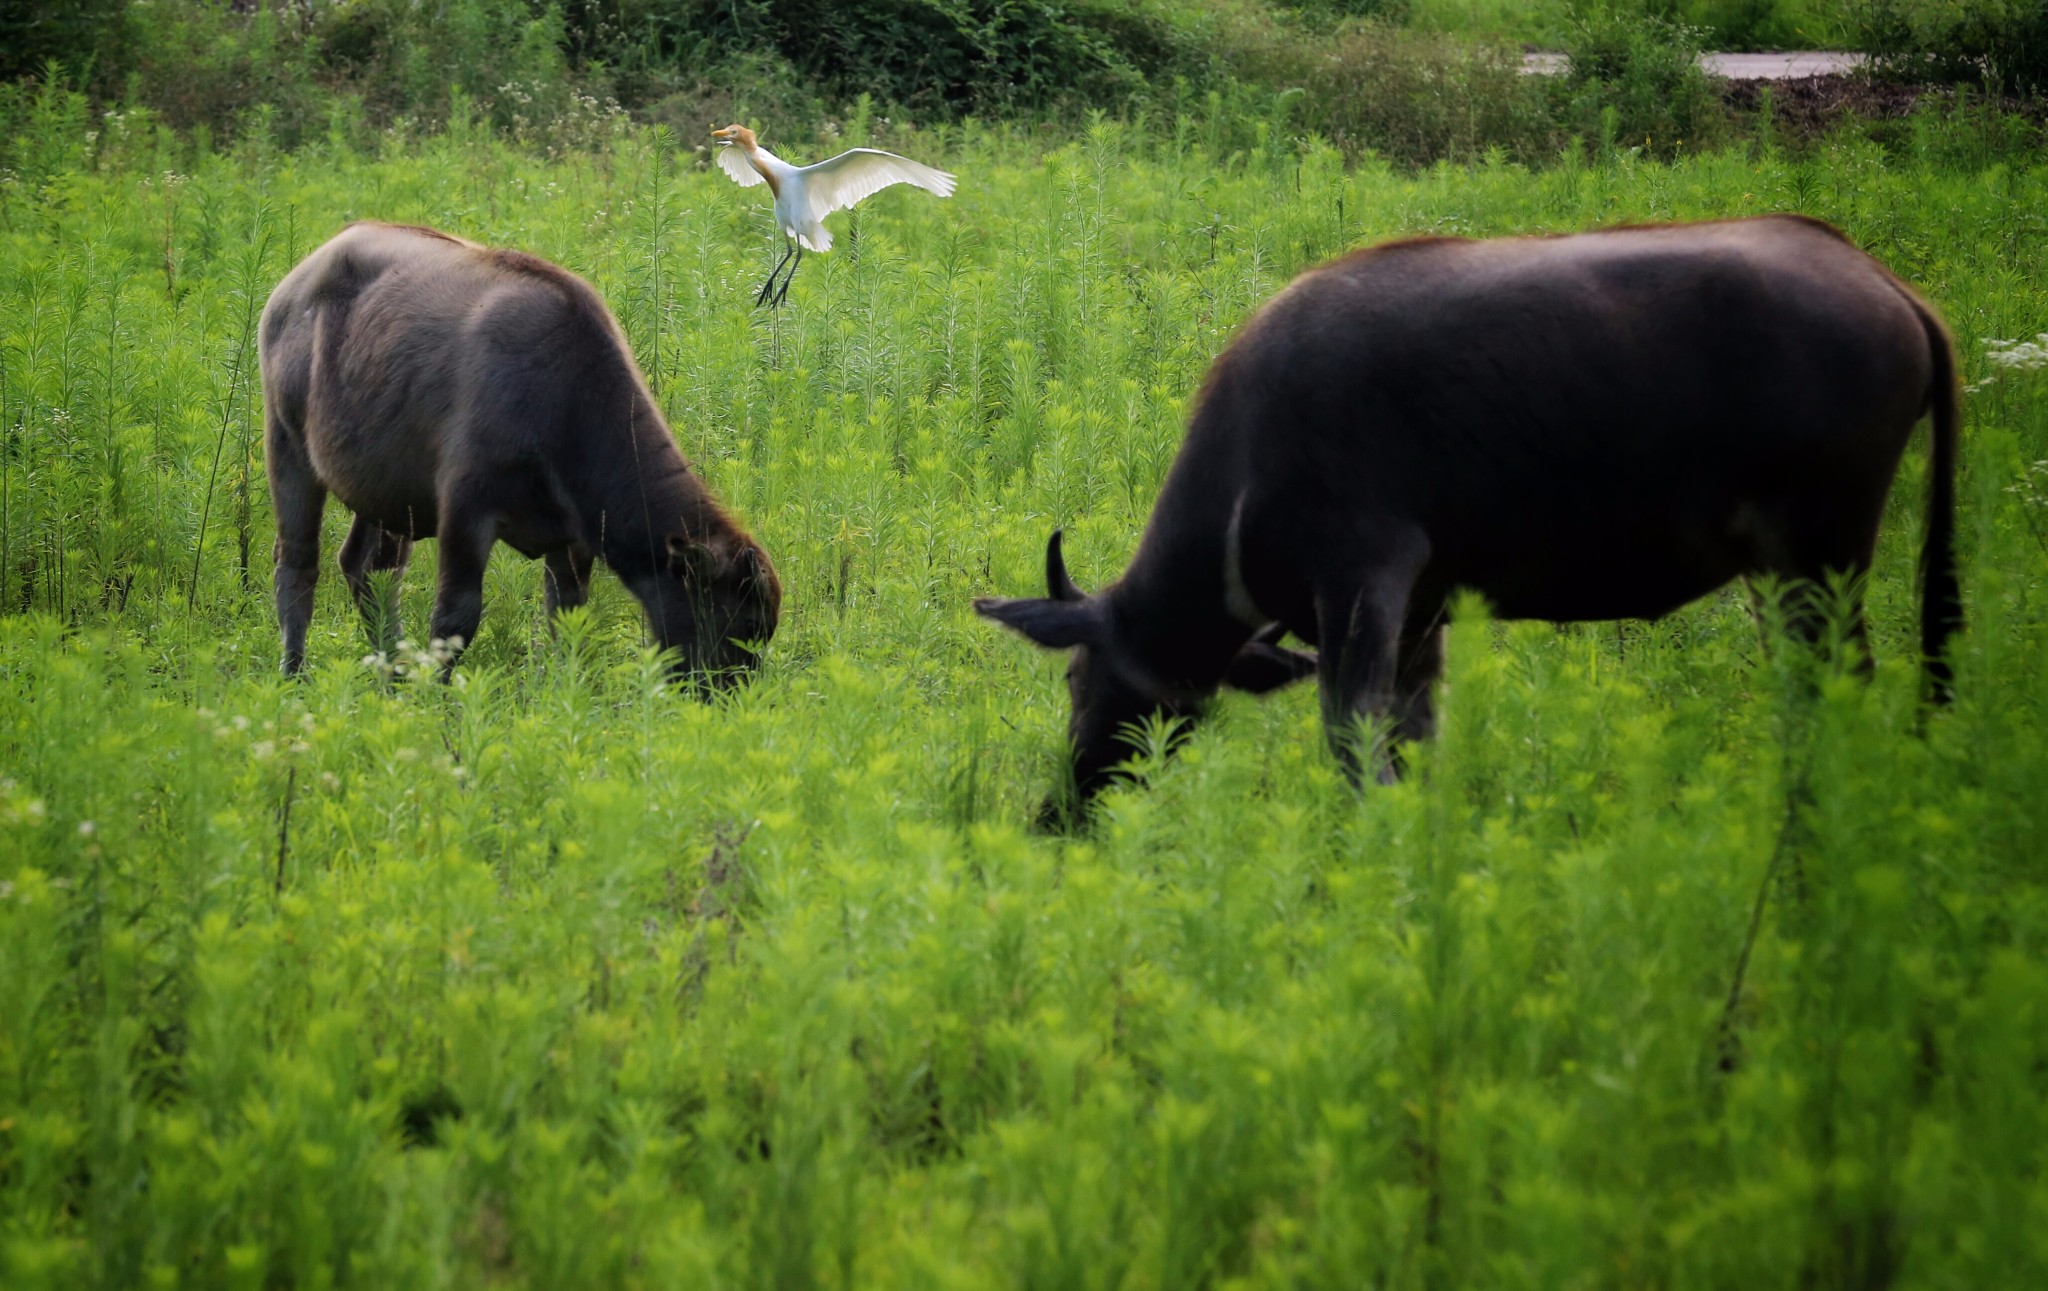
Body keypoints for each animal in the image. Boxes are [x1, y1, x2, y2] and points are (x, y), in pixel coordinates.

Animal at [260, 223, 778, 684]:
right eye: (744, 622)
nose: (733, 691)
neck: (564, 398)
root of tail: (295, 285)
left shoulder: (572, 540)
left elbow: (567, 618)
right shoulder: (465, 514)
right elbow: (455, 620)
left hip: (384, 493)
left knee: (369, 569)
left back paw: (394, 678)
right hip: (288, 449)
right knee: (298, 563)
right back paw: (294, 676)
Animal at [978, 217, 1966, 815]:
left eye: (1074, 678)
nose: (1061, 809)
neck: (1250, 459)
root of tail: (1887, 286)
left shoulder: (1362, 582)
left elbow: (1353, 743)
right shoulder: (1422, 620)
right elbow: (1414, 747)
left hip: (1820, 559)